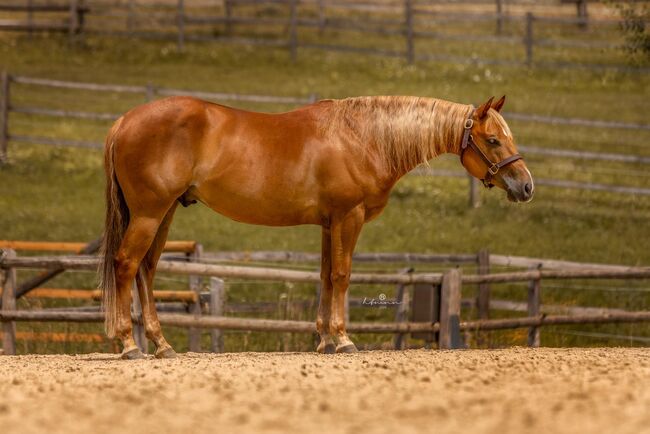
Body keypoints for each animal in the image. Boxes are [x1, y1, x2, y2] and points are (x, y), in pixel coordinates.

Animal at [98, 94, 534, 359]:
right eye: (493, 140)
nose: (526, 186)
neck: (363, 138)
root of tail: (124, 121)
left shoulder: (329, 224)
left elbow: (326, 276)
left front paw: (324, 339)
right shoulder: (348, 217)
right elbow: (342, 276)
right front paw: (342, 339)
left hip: (164, 213)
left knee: (146, 270)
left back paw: (160, 344)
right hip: (151, 213)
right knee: (125, 265)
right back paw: (128, 344)